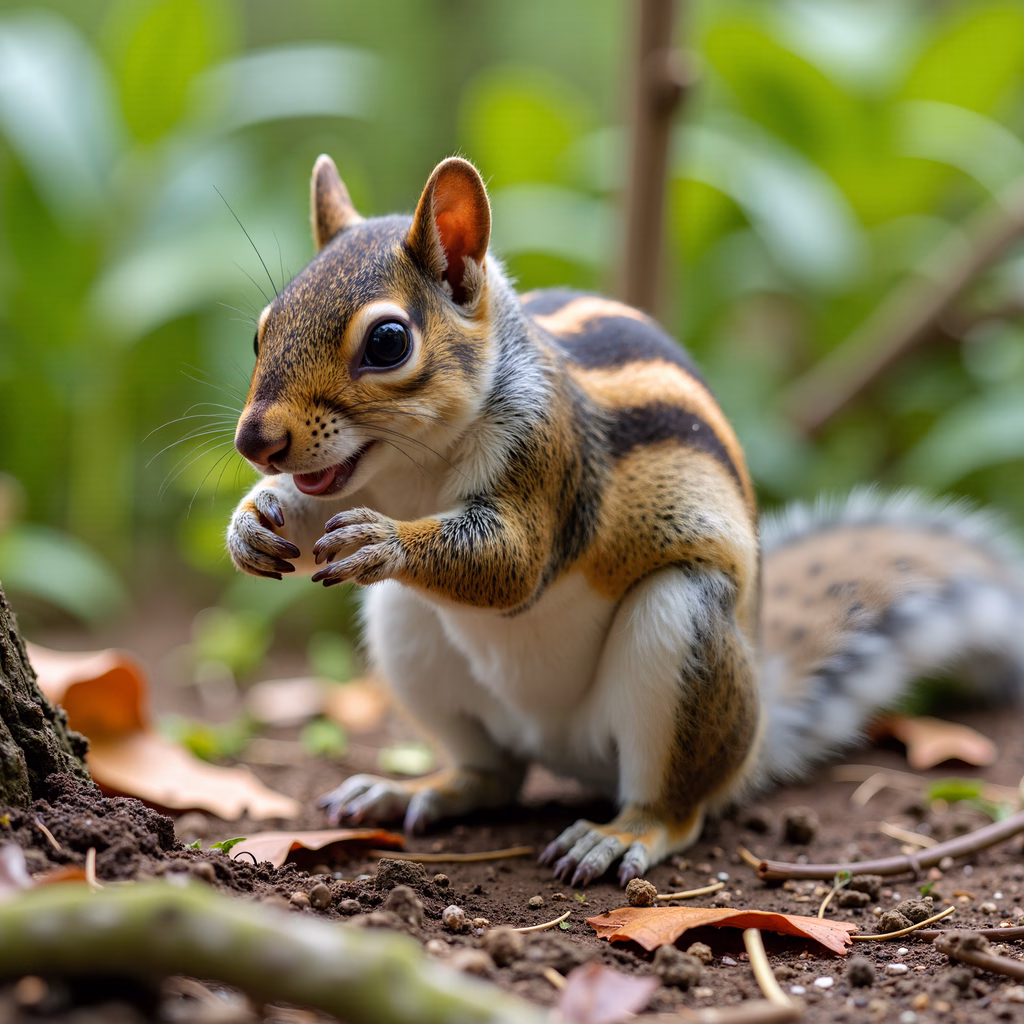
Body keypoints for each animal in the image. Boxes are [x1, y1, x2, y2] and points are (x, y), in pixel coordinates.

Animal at [227, 155, 1024, 886]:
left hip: (682, 634)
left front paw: (385, 540)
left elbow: (513, 564)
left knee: (678, 803)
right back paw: (414, 788)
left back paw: (621, 834)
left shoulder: (551, 458)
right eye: (261, 331)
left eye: (388, 342)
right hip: (406, 630)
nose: (254, 442)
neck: (412, 470)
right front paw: (252, 521)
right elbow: (307, 506)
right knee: (495, 773)